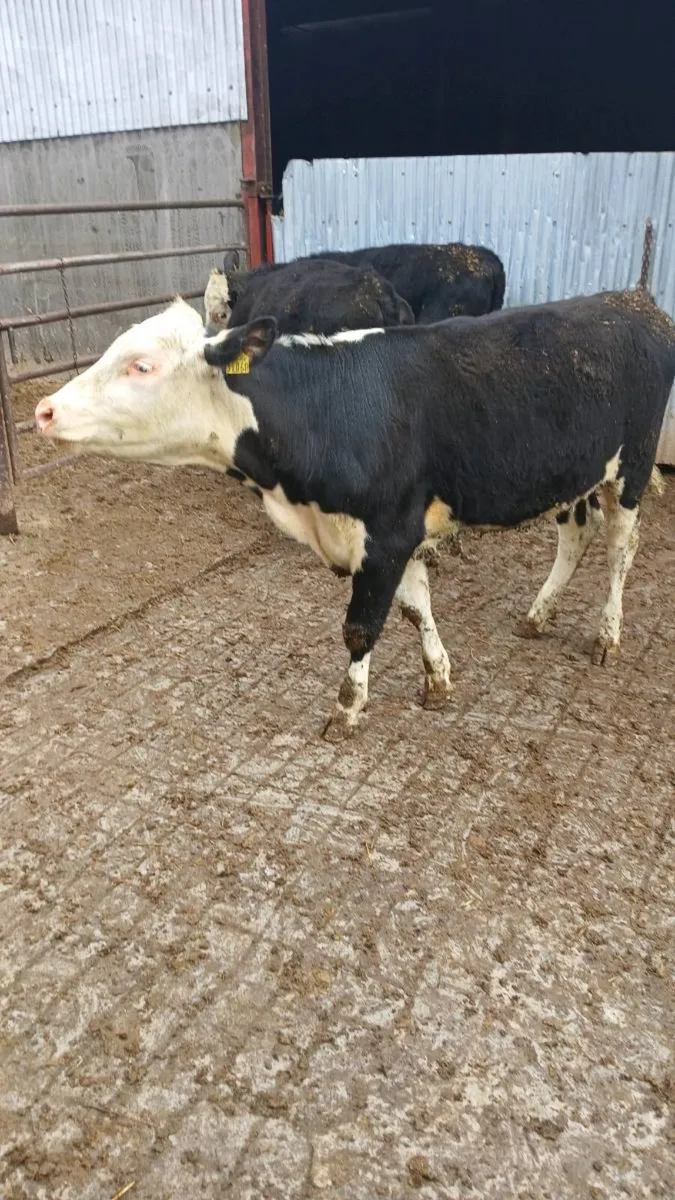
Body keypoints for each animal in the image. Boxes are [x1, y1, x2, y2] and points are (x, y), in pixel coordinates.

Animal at [35, 290, 675, 739]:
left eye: (140, 366)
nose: (44, 410)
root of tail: (631, 299)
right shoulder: (393, 531)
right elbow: (416, 608)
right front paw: (438, 679)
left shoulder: (387, 532)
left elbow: (361, 626)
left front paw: (346, 710)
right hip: (575, 474)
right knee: (577, 535)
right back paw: (538, 615)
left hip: (633, 466)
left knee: (621, 547)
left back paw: (607, 636)